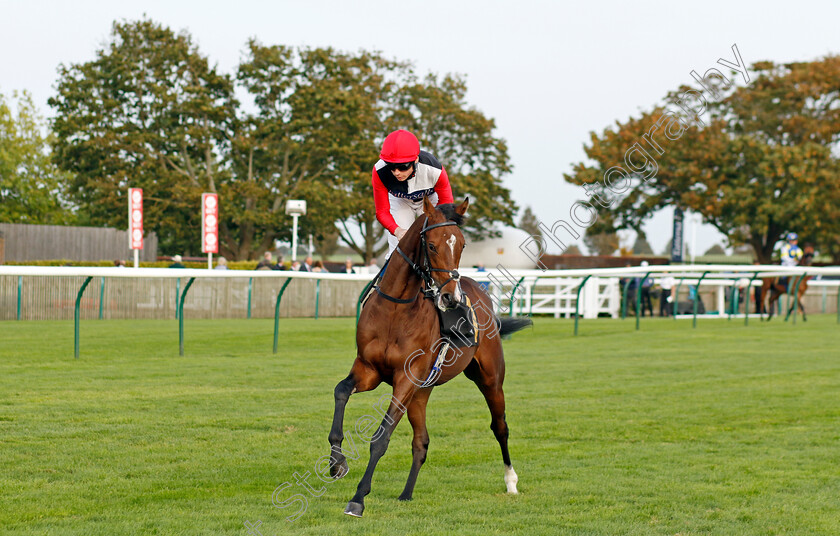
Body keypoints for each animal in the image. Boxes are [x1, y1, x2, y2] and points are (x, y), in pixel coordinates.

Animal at [328, 196, 532, 516]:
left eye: (462, 245)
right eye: (432, 245)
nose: (451, 297)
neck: (396, 308)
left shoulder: (405, 379)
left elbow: (381, 437)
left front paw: (358, 498)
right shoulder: (369, 369)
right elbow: (341, 391)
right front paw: (337, 462)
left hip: (489, 379)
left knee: (500, 427)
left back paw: (511, 481)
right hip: (421, 393)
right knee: (421, 442)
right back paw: (406, 493)